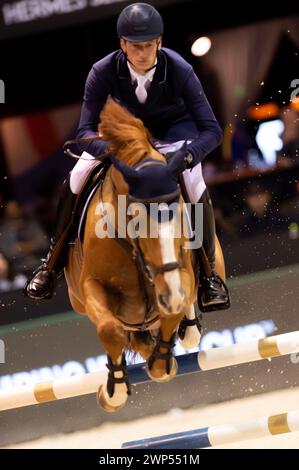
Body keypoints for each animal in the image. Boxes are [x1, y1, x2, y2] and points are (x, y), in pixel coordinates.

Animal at [64, 102, 203, 412]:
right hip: (78, 300)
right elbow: (109, 330)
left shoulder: (180, 275)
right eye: (137, 218)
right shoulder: (92, 286)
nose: (171, 295)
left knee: (187, 327)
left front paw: (163, 364)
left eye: (180, 210)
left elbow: (175, 310)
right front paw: (113, 391)